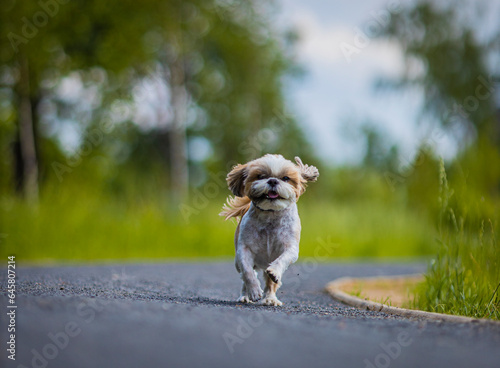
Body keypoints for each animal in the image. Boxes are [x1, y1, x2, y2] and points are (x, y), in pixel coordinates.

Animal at [220, 154, 320, 306]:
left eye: (285, 178)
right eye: (261, 176)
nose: (272, 180)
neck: (270, 214)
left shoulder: (290, 247)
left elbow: (282, 261)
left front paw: (274, 272)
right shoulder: (244, 249)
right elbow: (247, 272)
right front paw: (254, 291)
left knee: (270, 282)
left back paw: (270, 299)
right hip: (238, 262)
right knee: (244, 276)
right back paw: (245, 296)